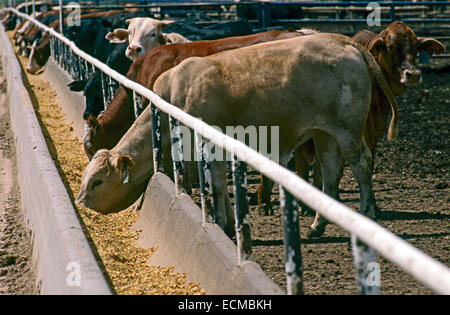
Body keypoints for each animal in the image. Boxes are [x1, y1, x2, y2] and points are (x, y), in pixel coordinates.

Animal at [75, 33, 396, 239]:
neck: (173, 98)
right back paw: (317, 226)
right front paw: (226, 222)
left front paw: (223, 223)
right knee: (329, 171)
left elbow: (216, 185)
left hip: (348, 129)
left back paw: (367, 211)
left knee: (362, 164)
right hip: (323, 132)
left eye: (98, 181)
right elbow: (216, 184)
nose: (81, 203)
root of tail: (344, 42)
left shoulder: (210, 147)